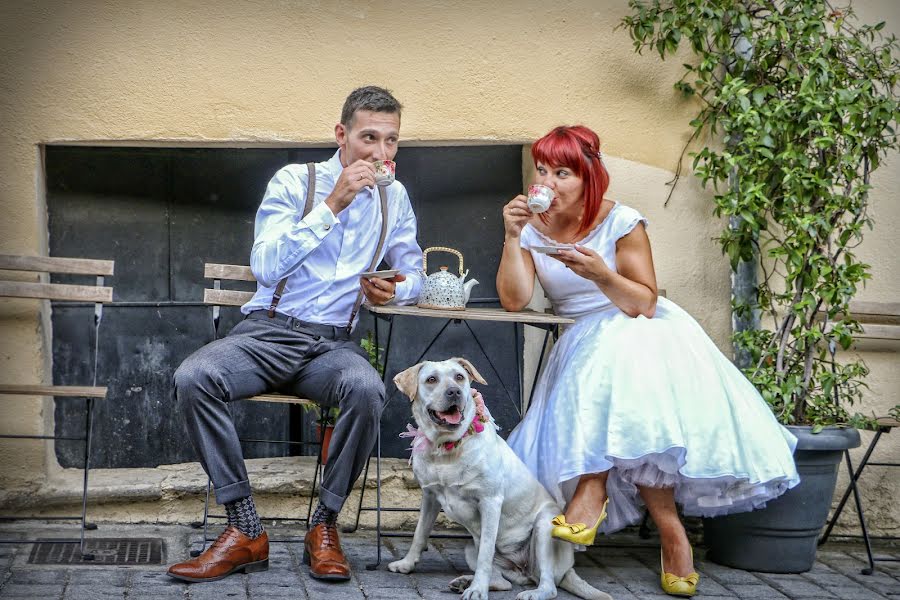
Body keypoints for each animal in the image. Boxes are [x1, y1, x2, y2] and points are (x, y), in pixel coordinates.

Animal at [386, 358, 612, 596]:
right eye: (431, 379)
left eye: (459, 377)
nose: (454, 391)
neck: (445, 449)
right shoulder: (429, 496)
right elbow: (419, 533)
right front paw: (406, 564)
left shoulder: (490, 502)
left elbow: (486, 553)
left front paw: (478, 591)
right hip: (471, 549)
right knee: (504, 582)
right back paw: (465, 582)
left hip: (544, 527)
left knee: (548, 584)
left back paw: (528, 592)